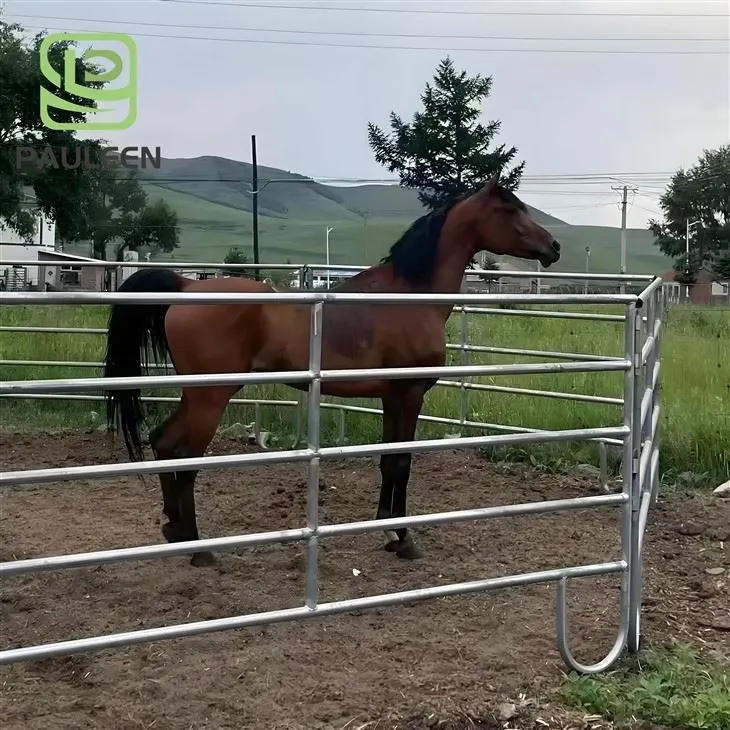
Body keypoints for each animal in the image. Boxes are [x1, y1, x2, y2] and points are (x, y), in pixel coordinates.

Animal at [103, 177, 561, 566]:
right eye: (510, 209)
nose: (554, 246)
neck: (409, 296)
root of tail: (187, 285)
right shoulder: (410, 394)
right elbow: (402, 463)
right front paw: (404, 538)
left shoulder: (391, 398)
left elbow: (388, 461)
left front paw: (389, 530)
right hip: (210, 398)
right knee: (185, 457)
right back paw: (199, 549)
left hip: (196, 394)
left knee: (163, 443)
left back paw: (174, 529)